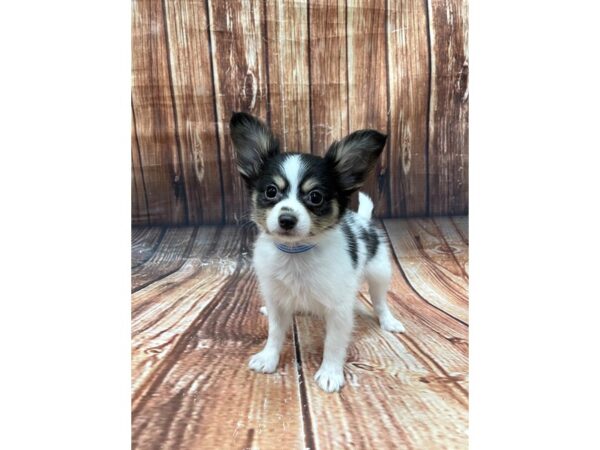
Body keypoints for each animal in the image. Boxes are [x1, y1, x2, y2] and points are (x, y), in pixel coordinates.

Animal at [230, 110, 408, 392]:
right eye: (271, 191)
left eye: (315, 197)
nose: (287, 219)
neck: (295, 253)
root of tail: (364, 220)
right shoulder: (276, 297)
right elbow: (275, 333)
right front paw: (268, 357)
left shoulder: (338, 309)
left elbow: (333, 344)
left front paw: (330, 373)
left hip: (380, 273)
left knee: (380, 301)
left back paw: (388, 321)